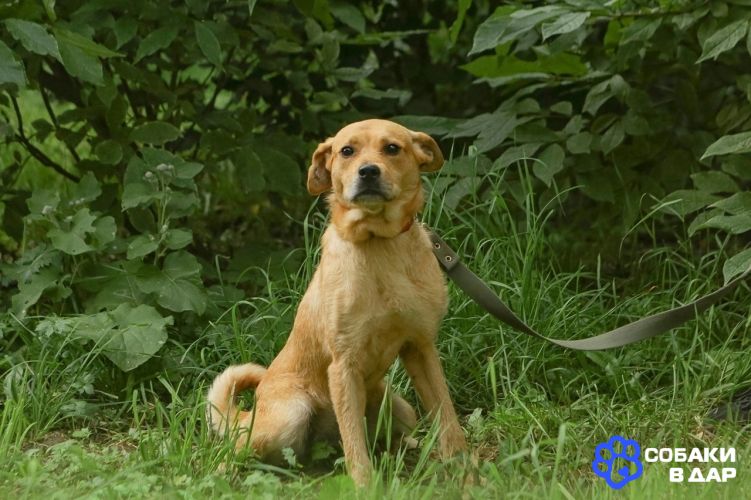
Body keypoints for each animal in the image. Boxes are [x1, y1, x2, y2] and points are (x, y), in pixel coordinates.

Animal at [207, 119, 467, 485]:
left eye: (392, 148)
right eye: (347, 150)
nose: (368, 171)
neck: (378, 245)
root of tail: (246, 417)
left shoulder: (421, 347)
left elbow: (449, 421)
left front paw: (468, 474)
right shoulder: (343, 365)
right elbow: (356, 449)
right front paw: (367, 488)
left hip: (400, 408)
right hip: (291, 413)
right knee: (232, 455)